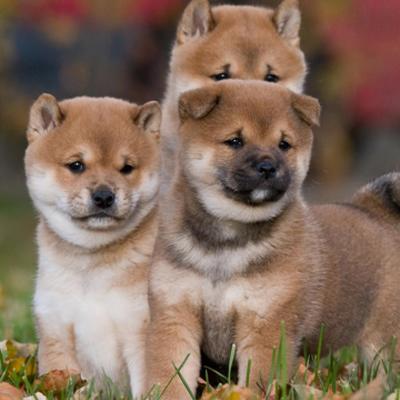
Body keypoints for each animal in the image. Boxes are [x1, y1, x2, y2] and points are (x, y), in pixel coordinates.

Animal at [25, 94, 161, 396]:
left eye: (126, 168)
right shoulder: (56, 328)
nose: (103, 196)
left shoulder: (139, 330)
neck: (91, 264)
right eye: (76, 165)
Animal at [145, 80, 400, 396]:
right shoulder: (175, 316)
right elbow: (169, 376)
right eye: (235, 141)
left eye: (284, 144)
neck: (227, 243)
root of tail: (374, 210)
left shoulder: (266, 324)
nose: (268, 167)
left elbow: (258, 381)